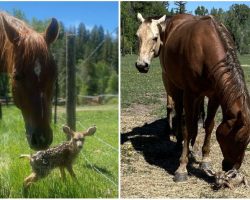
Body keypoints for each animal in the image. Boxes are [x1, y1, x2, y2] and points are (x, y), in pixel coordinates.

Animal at [136, 13, 250, 182]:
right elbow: (188, 127)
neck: (206, 48)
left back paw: (193, 145)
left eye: (247, 142)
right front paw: (182, 167)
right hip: (172, 83)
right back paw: (178, 141)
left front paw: (205, 159)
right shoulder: (190, 93)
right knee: (178, 110)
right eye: (239, 140)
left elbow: (209, 125)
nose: (232, 170)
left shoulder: (214, 96)